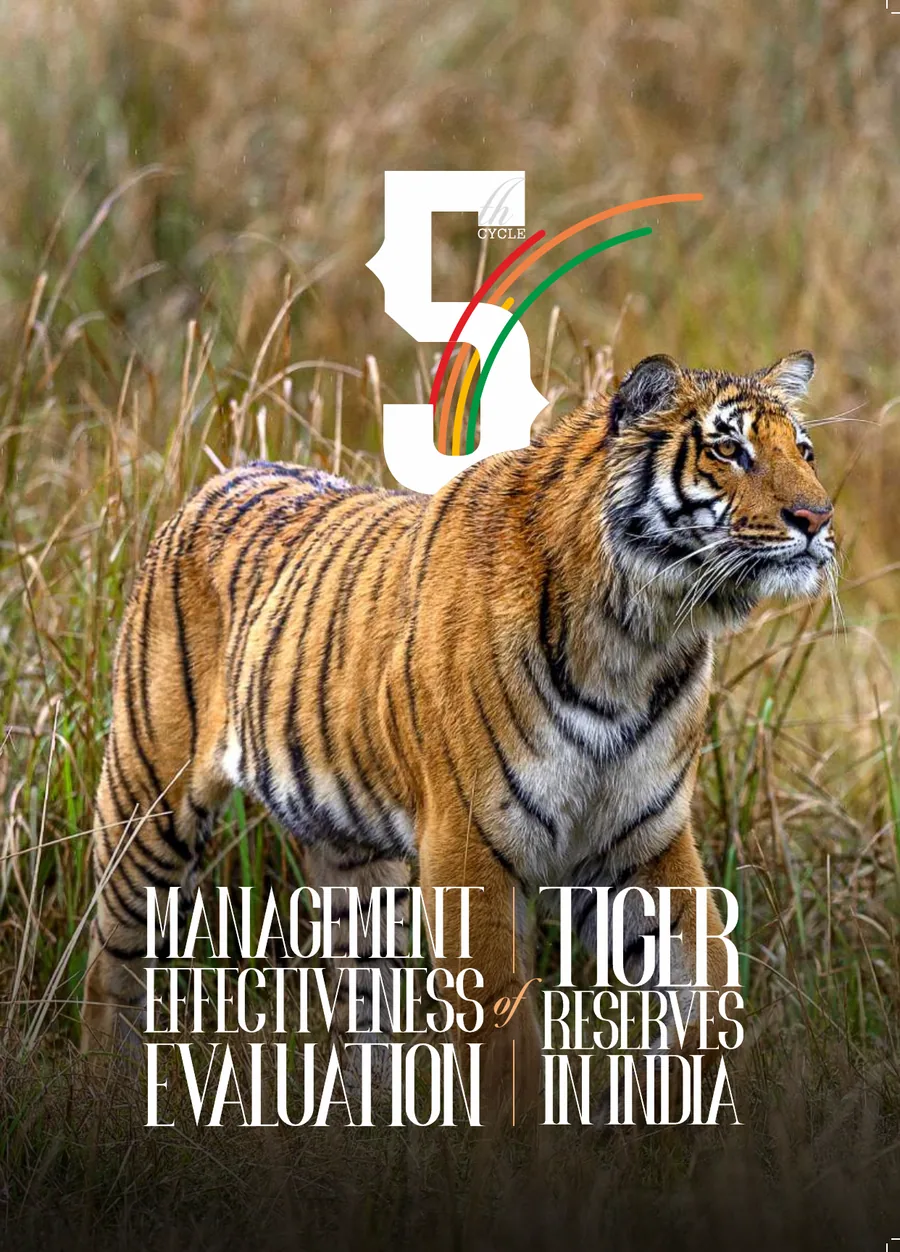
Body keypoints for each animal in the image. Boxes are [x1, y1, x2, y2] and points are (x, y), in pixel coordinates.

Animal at [81, 349, 835, 1117]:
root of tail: (220, 478)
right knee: (113, 963)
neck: (642, 634)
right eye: (729, 450)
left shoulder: (640, 838)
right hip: (149, 803)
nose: (816, 516)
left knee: (361, 997)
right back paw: (108, 1100)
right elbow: (503, 1037)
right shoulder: (470, 841)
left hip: (356, 864)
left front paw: (660, 1092)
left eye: (803, 452)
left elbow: (711, 987)